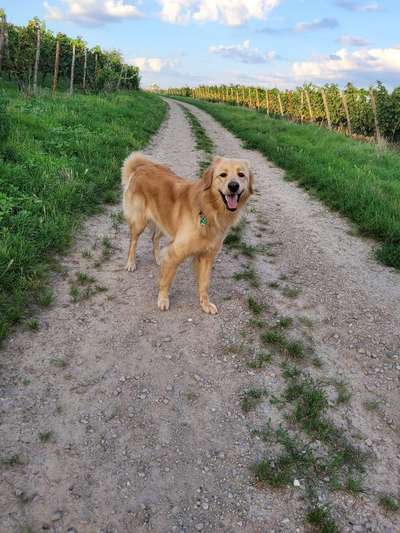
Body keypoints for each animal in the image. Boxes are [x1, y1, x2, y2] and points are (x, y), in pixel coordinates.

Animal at [122, 152, 253, 314]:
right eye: (223, 175)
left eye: (241, 175)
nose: (233, 186)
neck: (210, 210)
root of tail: (141, 168)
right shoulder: (175, 252)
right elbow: (166, 280)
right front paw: (163, 299)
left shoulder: (207, 256)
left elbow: (204, 283)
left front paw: (205, 304)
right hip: (139, 222)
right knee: (133, 242)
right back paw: (131, 263)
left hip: (163, 221)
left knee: (154, 238)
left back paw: (158, 258)